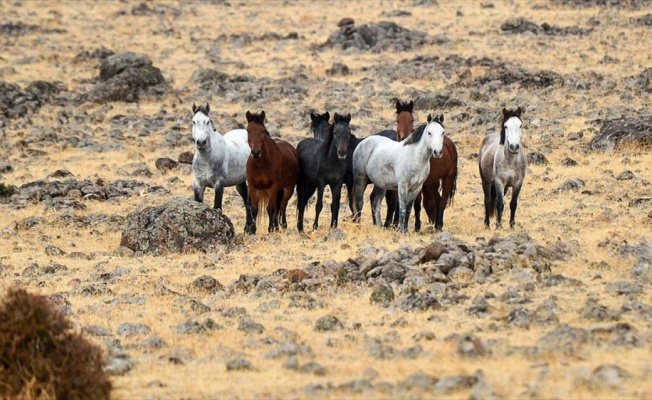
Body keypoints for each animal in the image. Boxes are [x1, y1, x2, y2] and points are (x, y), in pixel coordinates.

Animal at [191, 102, 255, 234]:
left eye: (207, 121)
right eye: (193, 121)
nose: (201, 142)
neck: (206, 159)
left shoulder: (219, 183)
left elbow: (217, 207)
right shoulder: (198, 184)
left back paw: (252, 228)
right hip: (240, 182)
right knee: (246, 200)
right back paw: (248, 228)